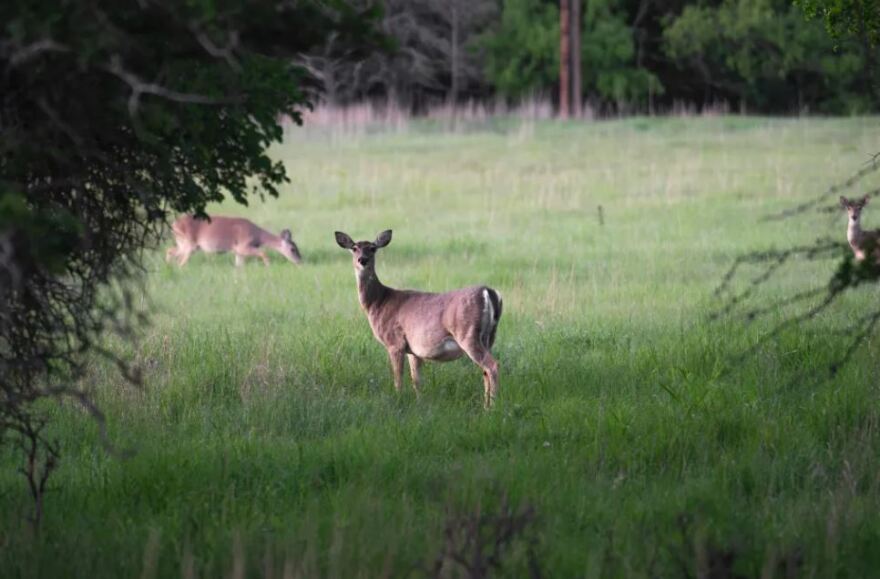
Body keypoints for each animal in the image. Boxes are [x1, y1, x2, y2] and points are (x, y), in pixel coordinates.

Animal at [166, 215, 302, 268]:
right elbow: (263, 253)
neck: (257, 235)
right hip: (189, 244)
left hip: (182, 243)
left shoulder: (238, 252)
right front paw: (268, 267)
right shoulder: (242, 246)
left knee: (169, 250)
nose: (299, 261)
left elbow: (238, 266)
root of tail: (173, 224)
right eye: (293, 249)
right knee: (180, 262)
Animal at [336, 230, 506, 408]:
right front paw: (420, 403)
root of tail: (489, 292)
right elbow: (416, 380)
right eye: (354, 248)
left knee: (492, 365)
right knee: (485, 370)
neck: (378, 301)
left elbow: (398, 378)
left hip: (467, 334)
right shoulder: (413, 349)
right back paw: (486, 405)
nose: (362, 260)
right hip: (489, 337)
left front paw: (398, 400)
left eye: (373, 248)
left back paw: (492, 407)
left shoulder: (394, 342)